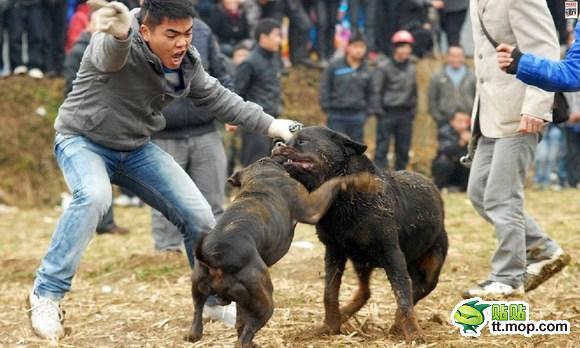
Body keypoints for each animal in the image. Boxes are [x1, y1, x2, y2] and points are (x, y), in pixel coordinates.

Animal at [184, 158, 378, 348]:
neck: (260, 175)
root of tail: (216, 259)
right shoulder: (312, 207)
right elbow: (334, 182)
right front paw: (360, 180)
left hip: (202, 290)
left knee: (204, 315)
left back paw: (197, 334)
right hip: (265, 301)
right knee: (246, 334)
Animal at [274, 125, 448, 342]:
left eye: (302, 141)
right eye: (285, 141)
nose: (277, 145)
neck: (343, 198)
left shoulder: (392, 255)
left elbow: (404, 297)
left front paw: (414, 333)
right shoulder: (334, 251)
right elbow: (329, 293)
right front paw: (329, 327)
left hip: (430, 267)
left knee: (417, 289)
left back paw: (397, 324)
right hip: (361, 260)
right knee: (365, 292)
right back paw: (345, 315)